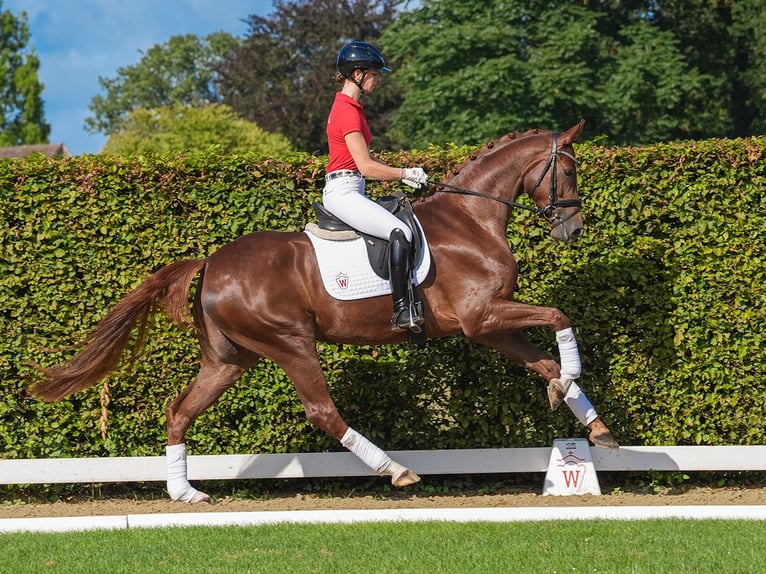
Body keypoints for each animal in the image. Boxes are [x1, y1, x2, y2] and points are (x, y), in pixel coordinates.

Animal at [30, 121, 620, 504]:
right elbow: (559, 315)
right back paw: (397, 471)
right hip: (291, 343)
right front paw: (572, 383)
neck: (472, 219)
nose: (573, 230)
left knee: (180, 410)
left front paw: (593, 424)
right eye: (569, 172)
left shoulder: (489, 327)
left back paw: (185, 493)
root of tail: (212, 263)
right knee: (321, 411)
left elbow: (543, 360)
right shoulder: (483, 317)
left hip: (230, 357)